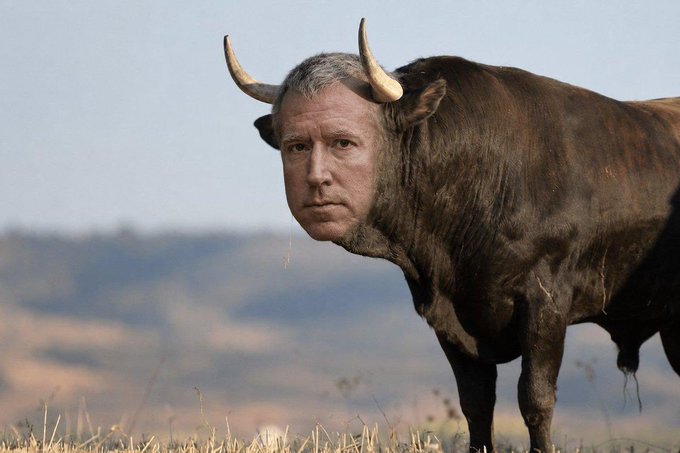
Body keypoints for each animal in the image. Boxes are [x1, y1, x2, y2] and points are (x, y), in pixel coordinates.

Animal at [223, 19, 680, 452]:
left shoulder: (547, 302)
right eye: (296, 146)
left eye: (343, 142)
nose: (317, 183)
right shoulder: (448, 317)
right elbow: (476, 403)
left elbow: (535, 399)